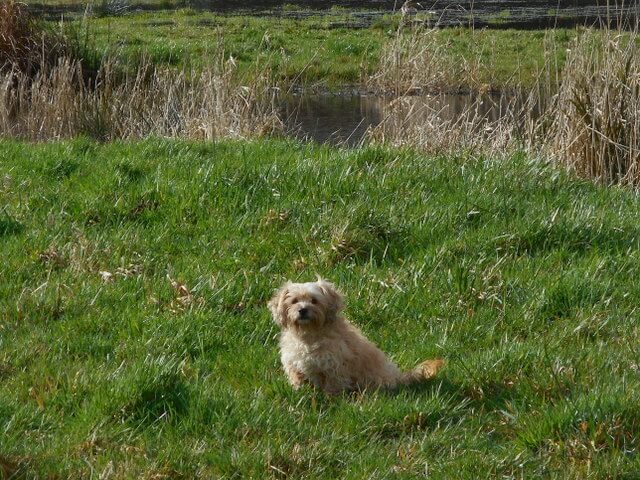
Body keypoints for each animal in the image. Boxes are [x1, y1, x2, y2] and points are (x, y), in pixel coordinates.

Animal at [268, 278, 442, 394]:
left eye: (314, 300)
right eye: (294, 301)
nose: (303, 310)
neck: (308, 335)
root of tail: (399, 376)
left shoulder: (334, 366)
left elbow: (333, 386)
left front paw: (331, 399)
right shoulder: (295, 365)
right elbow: (299, 382)